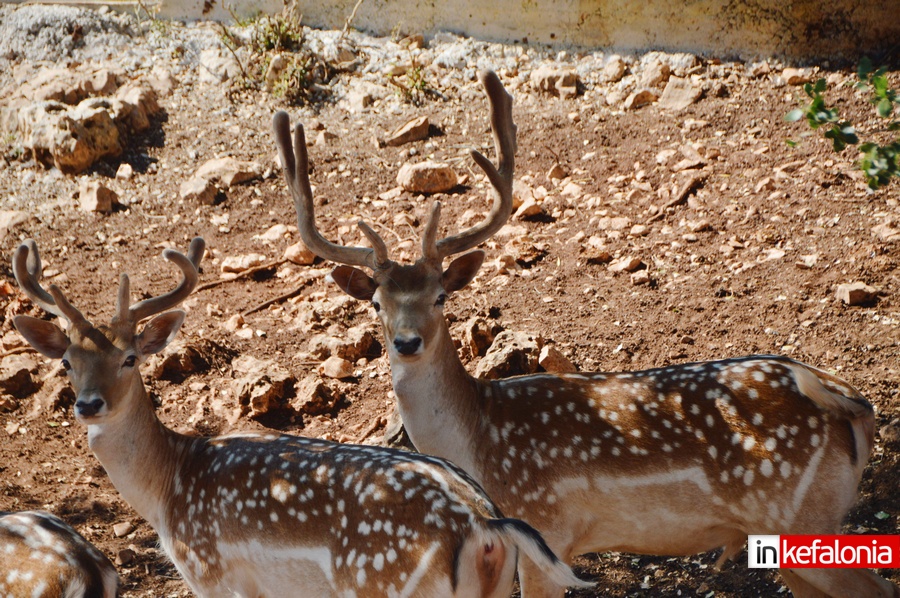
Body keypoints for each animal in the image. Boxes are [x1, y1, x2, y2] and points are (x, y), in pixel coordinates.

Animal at [12, 239, 592, 598]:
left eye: (130, 358)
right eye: (67, 362)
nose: (89, 404)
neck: (167, 490)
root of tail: (484, 521)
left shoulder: (213, 575)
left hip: (385, 583)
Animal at [272, 69, 900, 598]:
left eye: (441, 296)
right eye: (376, 302)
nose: (407, 342)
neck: (477, 444)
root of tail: (854, 401)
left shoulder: (547, 529)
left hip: (802, 516)